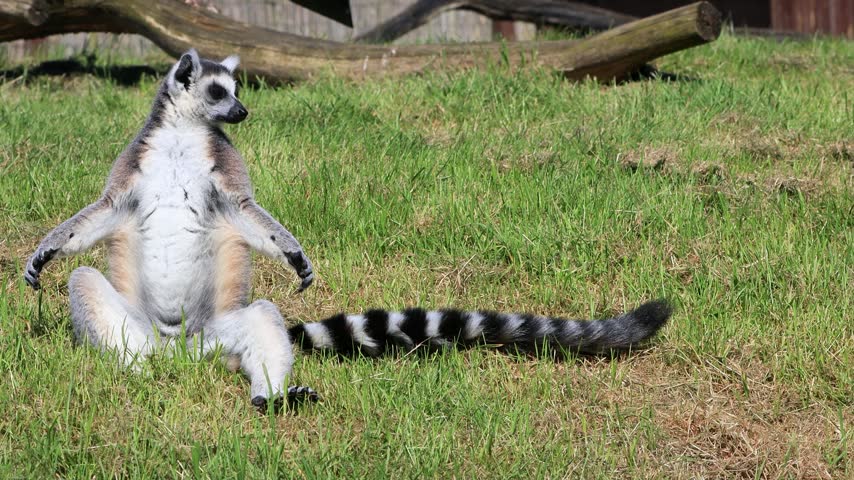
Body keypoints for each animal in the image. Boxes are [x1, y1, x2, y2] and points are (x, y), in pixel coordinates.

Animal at [24, 49, 671, 411]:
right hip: (140, 332)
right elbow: (101, 214)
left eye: (236, 92)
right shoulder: (134, 163)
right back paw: (133, 373)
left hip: (220, 334)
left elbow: (247, 213)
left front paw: (294, 256)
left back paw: (273, 397)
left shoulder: (223, 171)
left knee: (261, 320)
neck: (183, 138)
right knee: (87, 284)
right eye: (218, 91)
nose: (243, 113)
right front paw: (44, 254)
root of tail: (180, 349)